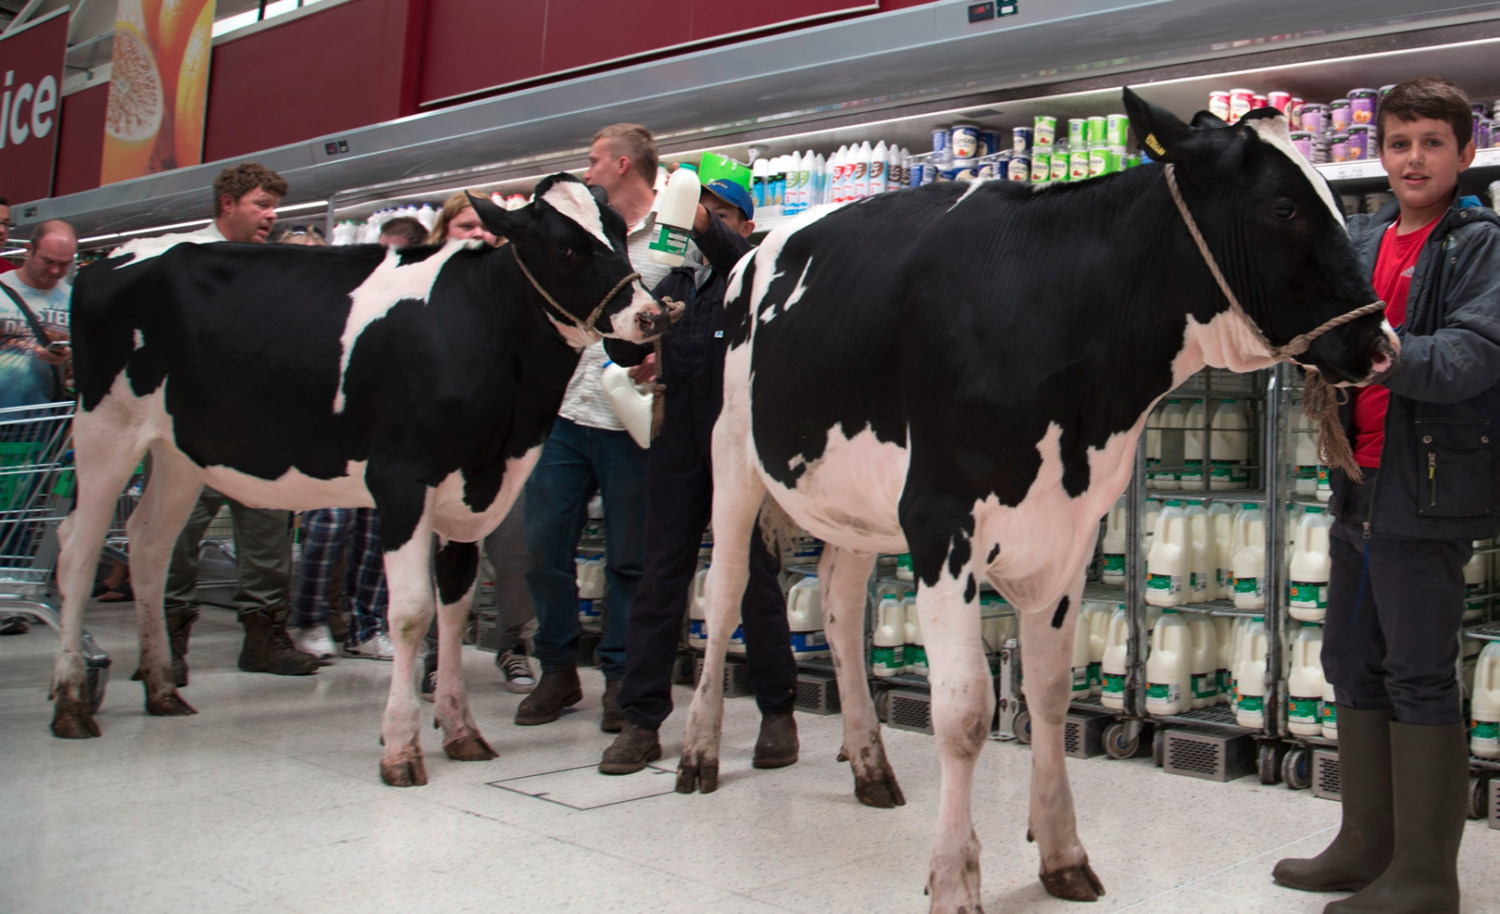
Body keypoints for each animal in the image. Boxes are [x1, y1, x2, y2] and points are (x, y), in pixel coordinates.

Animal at [48, 172, 669, 786]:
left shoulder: (470, 495)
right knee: (77, 550)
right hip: (104, 430)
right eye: (565, 246)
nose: (650, 316)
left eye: (619, 229)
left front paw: (460, 730)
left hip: (177, 451)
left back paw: (160, 688)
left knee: (149, 545)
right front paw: (401, 747)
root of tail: (115, 258)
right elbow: (413, 612)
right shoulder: (402, 482)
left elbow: (453, 610)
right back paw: (73, 700)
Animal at [675, 89, 1398, 906]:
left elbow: (1050, 692)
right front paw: (954, 878)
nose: (1381, 344)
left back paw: (870, 762)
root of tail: (755, 248)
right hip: (733, 455)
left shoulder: (1070, 528)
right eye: (1283, 207)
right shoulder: (938, 521)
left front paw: (1061, 852)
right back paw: (699, 752)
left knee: (836, 604)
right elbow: (963, 711)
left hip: (852, 500)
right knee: (726, 591)